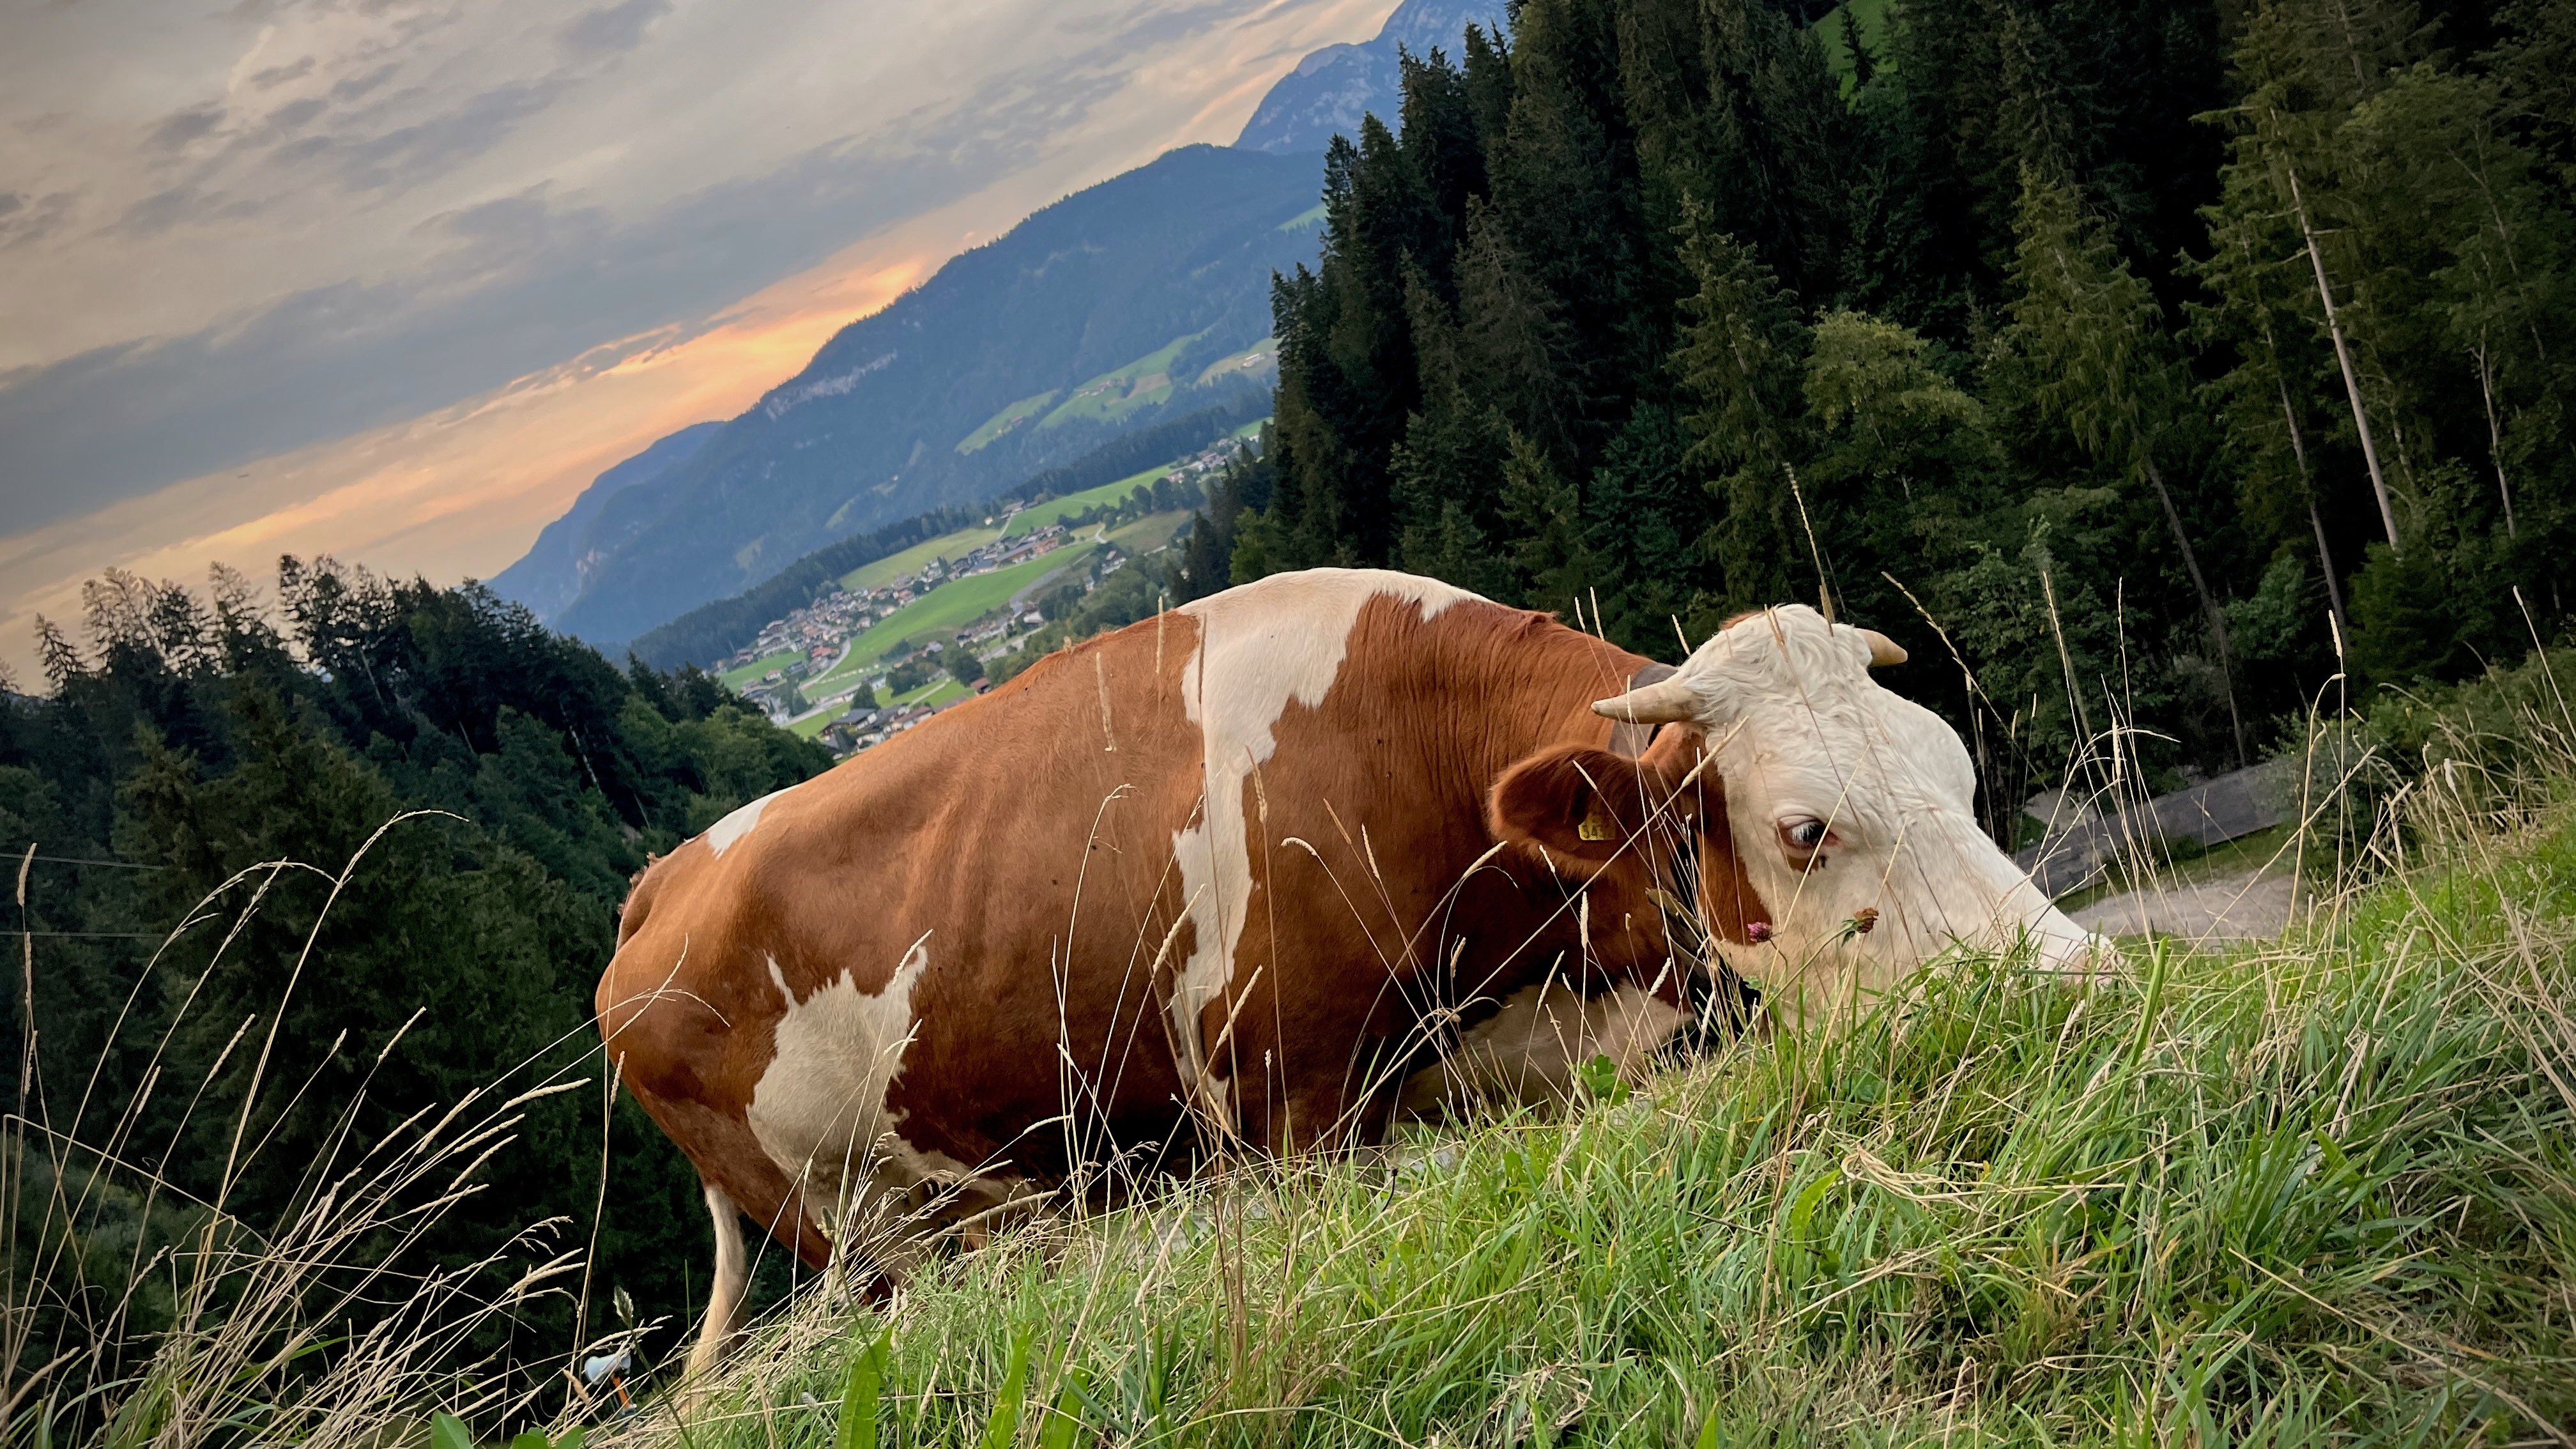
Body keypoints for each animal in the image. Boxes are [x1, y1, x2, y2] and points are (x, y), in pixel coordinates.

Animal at [597, 564, 2091, 1361]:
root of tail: (656, 884)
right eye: (1802, 829)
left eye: (1957, 768)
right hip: (861, 1234)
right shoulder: (1296, 1120)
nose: (2071, 989)